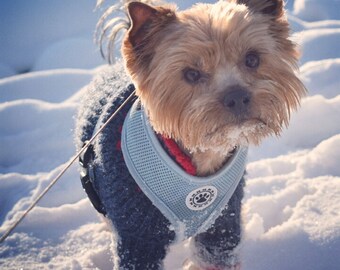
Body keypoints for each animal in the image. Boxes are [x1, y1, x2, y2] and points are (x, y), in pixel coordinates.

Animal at [75, 0, 306, 268]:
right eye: (191, 74)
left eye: (252, 59)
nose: (237, 96)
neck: (198, 155)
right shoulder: (137, 237)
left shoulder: (222, 226)